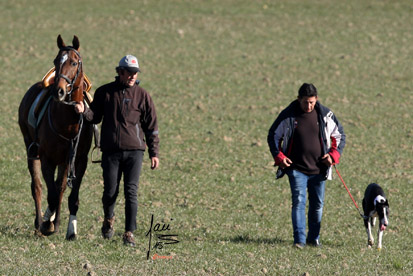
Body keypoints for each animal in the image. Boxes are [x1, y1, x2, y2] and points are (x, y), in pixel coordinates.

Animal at [18, 35, 92, 239]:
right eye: (55, 61)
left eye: (74, 62)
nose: (58, 91)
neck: (68, 122)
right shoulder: (46, 159)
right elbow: (49, 193)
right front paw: (46, 223)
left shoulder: (77, 160)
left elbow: (66, 193)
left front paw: (68, 228)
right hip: (31, 149)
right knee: (37, 187)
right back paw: (40, 223)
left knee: (59, 188)